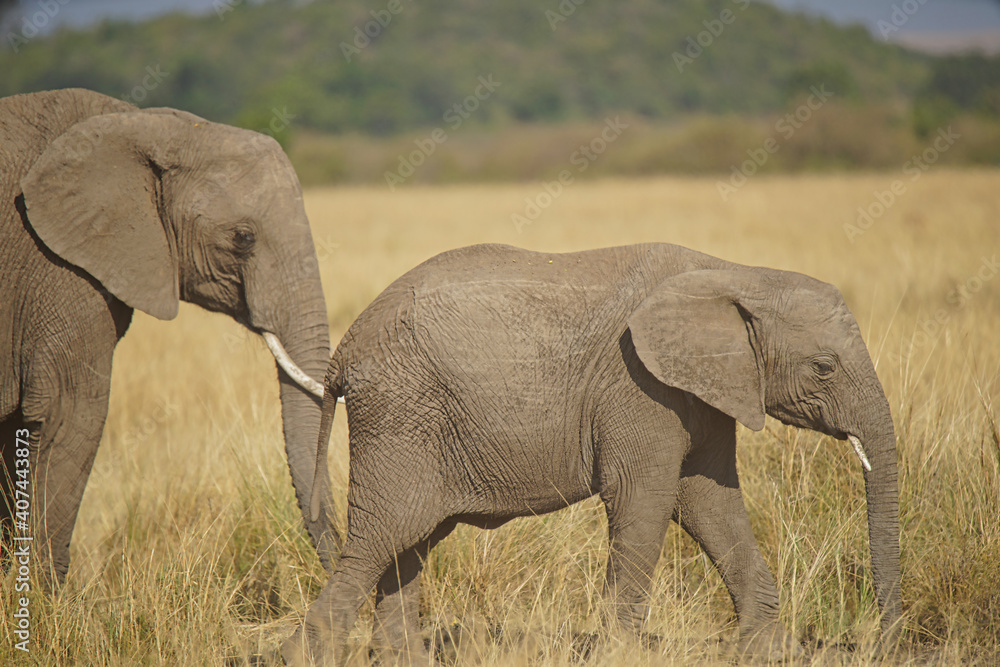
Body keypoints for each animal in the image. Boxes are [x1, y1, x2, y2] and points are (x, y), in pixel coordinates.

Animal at [284, 244, 908, 664]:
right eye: (823, 367)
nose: (887, 641)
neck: (735, 272)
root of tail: (344, 350)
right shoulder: (639, 385)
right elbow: (646, 499)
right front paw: (619, 655)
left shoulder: (702, 388)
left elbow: (710, 501)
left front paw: (772, 652)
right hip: (401, 417)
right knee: (381, 539)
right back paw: (306, 656)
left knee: (409, 544)